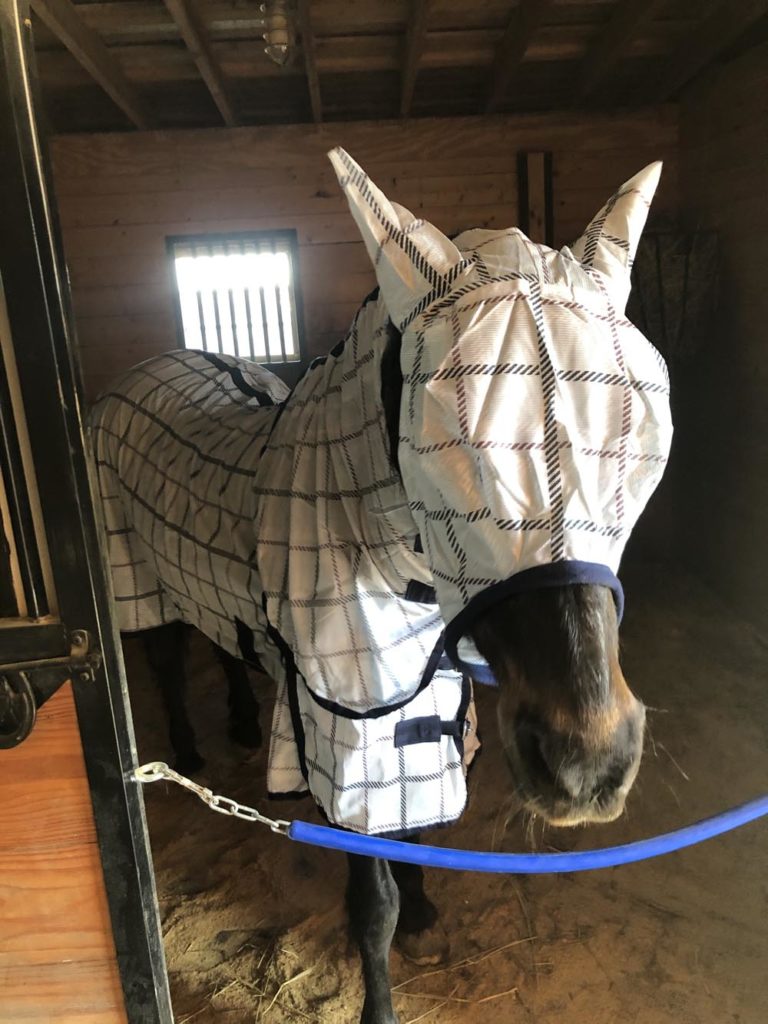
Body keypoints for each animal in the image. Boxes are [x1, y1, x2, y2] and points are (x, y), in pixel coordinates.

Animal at [91, 146, 671, 1024]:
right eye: (447, 443)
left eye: (637, 445)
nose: (588, 766)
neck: (410, 586)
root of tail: (146, 372)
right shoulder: (351, 735)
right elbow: (373, 906)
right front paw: (383, 994)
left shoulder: (427, 711)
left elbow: (419, 832)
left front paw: (426, 902)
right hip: (139, 579)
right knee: (162, 658)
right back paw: (185, 756)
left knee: (224, 641)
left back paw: (236, 724)